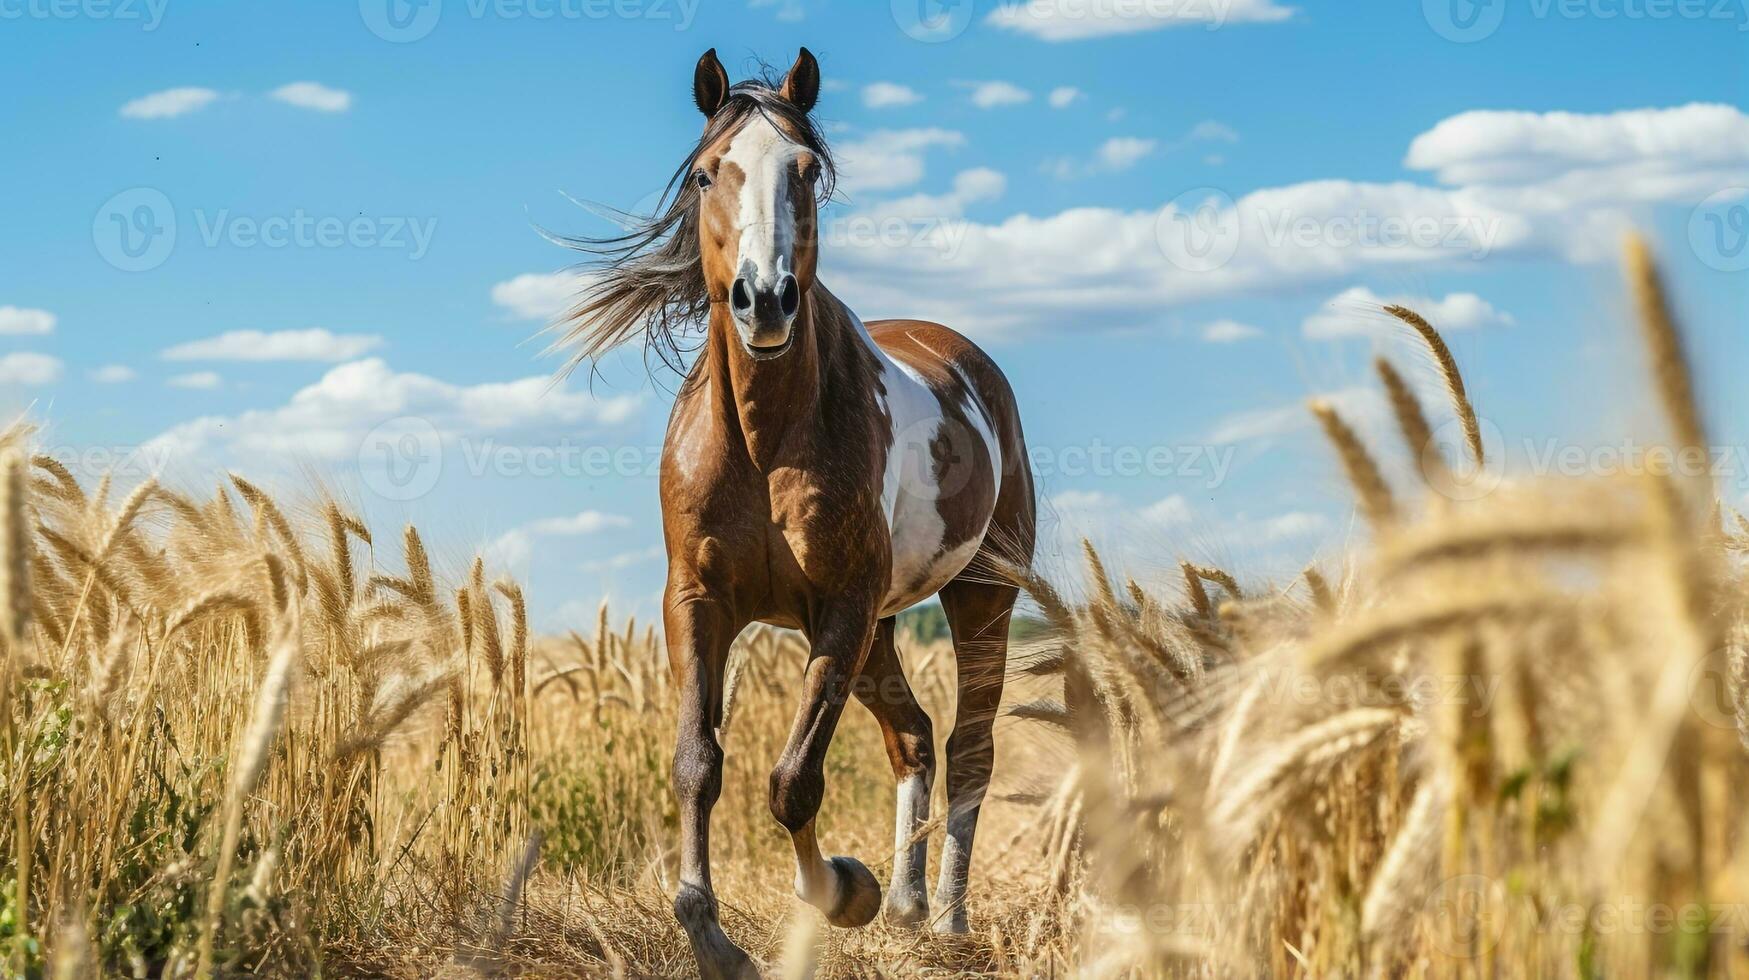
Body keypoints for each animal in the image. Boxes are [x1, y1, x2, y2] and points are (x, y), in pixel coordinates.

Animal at [556, 49, 1035, 973]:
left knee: (968, 749)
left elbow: (792, 780)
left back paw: (947, 917)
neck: (761, 437)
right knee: (913, 736)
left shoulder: (839, 608)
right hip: (885, 626)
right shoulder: (697, 602)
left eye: (807, 171)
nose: (765, 299)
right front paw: (711, 936)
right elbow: (697, 763)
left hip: (979, 595)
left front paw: (841, 890)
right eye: (707, 173)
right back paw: (910, 907)